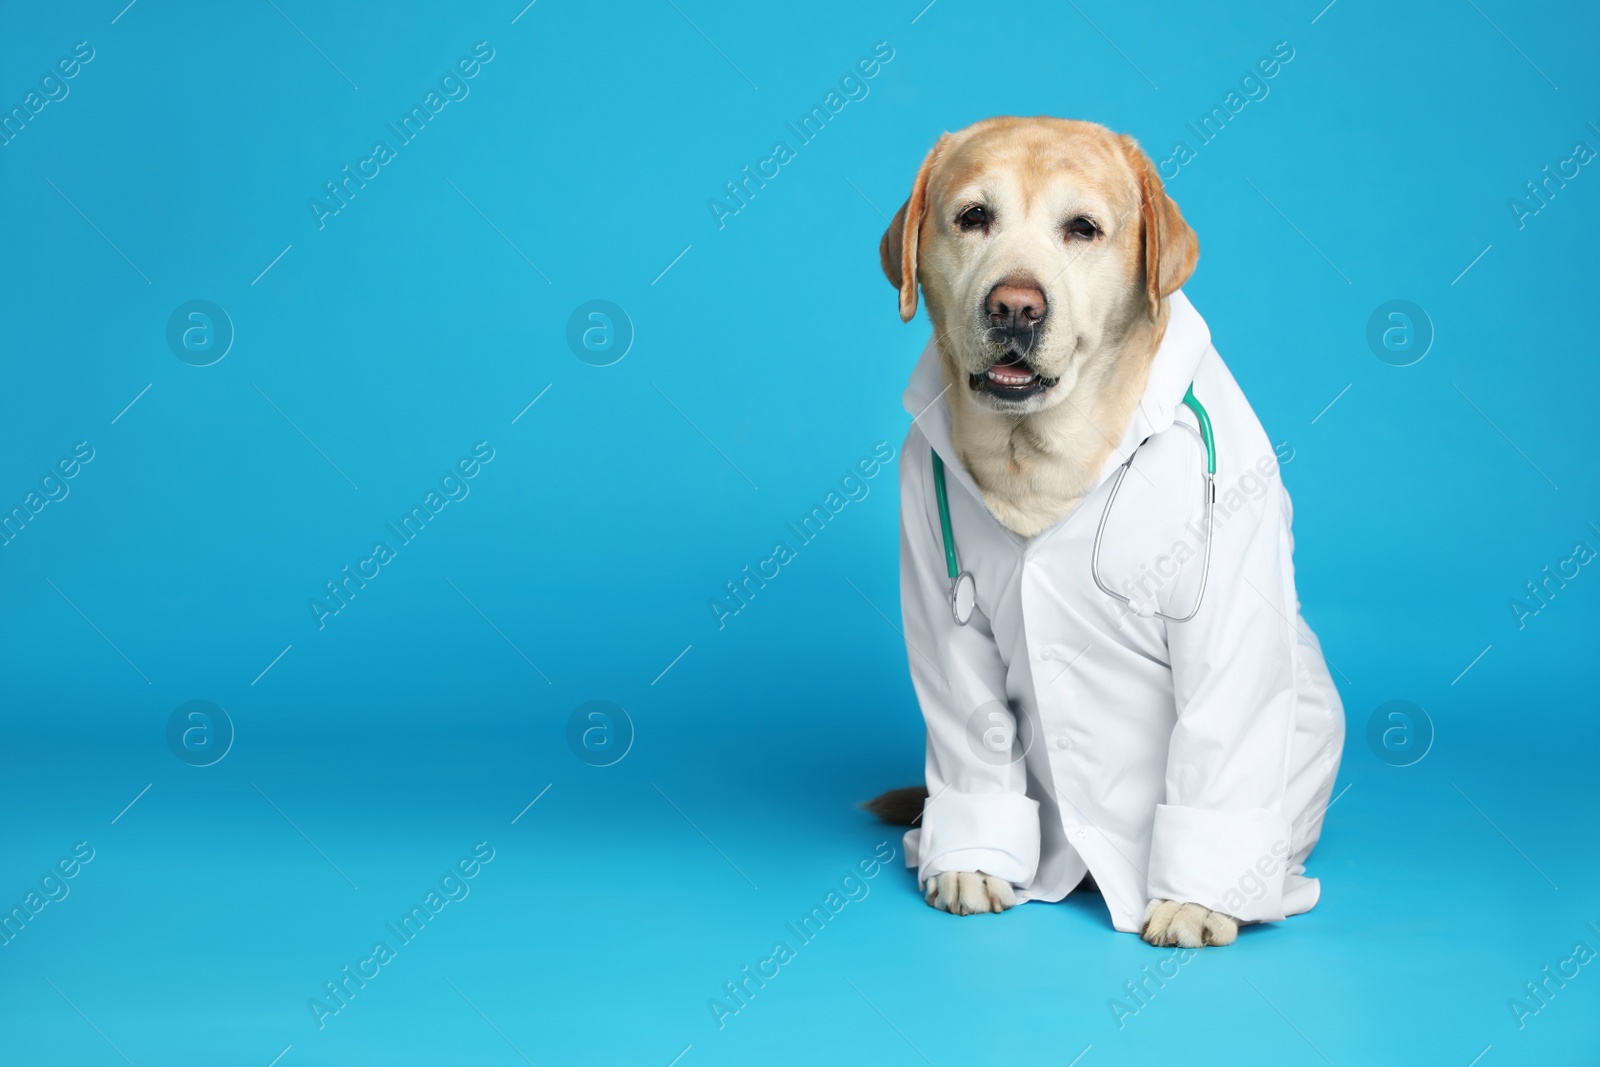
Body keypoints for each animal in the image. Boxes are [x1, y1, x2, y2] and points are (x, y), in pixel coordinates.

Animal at [870, 119, 1344, 953]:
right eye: (973, 217)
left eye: (1083, 229)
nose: (1015, 307)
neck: (1035, 457)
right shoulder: (938, 600)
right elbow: (972, 731)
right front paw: (972, 861)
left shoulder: (1230, 616)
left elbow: (1220, 734)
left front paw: (1192, 899)